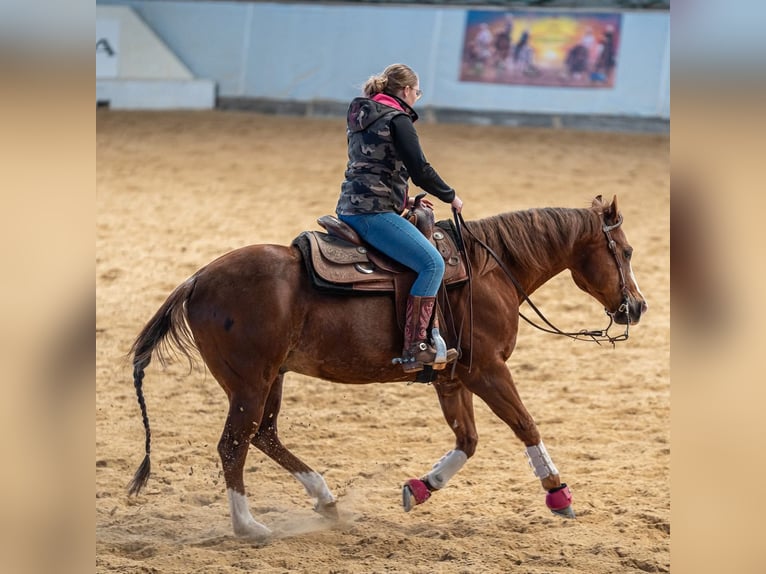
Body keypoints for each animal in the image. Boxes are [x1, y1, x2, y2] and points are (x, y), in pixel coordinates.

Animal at [127, 194, 647, 539]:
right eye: (625, 251)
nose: (637, 307)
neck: (488, 270)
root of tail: (196, 280)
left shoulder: (451, 377)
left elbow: (468, 441)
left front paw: (421, 487)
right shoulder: (487, 370)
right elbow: (526, 425)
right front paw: (559, 494)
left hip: (270, 379)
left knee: (263, 435)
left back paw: (326, 500)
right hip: (250, 383)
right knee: (234, 445)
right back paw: (249, 525)